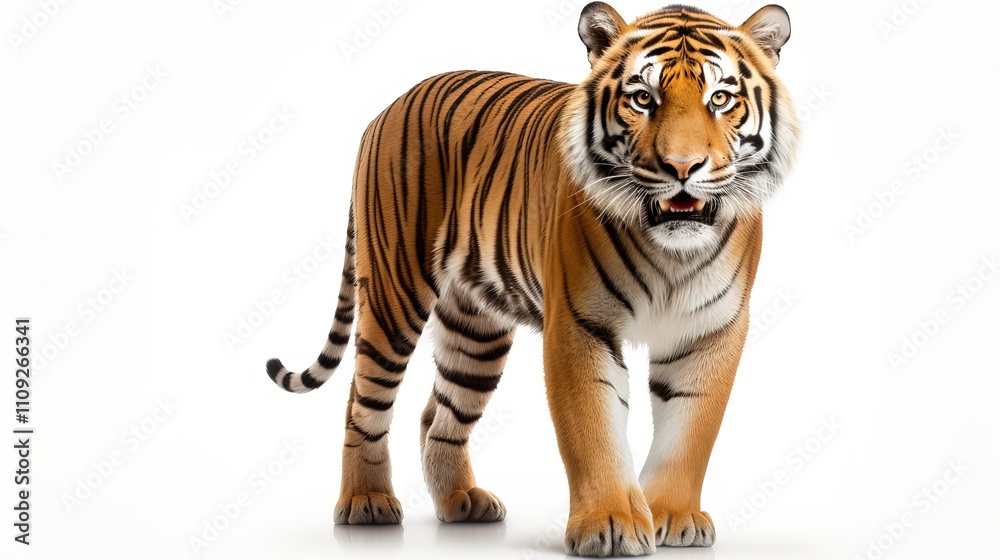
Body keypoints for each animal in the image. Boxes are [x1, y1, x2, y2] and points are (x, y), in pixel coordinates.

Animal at [265, 2, 798, 556]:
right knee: (363, 400)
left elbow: (691, 431)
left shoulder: (711, 330)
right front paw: (610, 524)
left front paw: (673, 516)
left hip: (475, 328)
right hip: (394, 295)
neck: (672, 250)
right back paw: (367, 503)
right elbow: (593, 429)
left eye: (721, 99)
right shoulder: (579, 325)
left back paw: (462, 501)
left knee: (439, 414)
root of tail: (386, 108)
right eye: (642, 98)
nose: (682, 166)